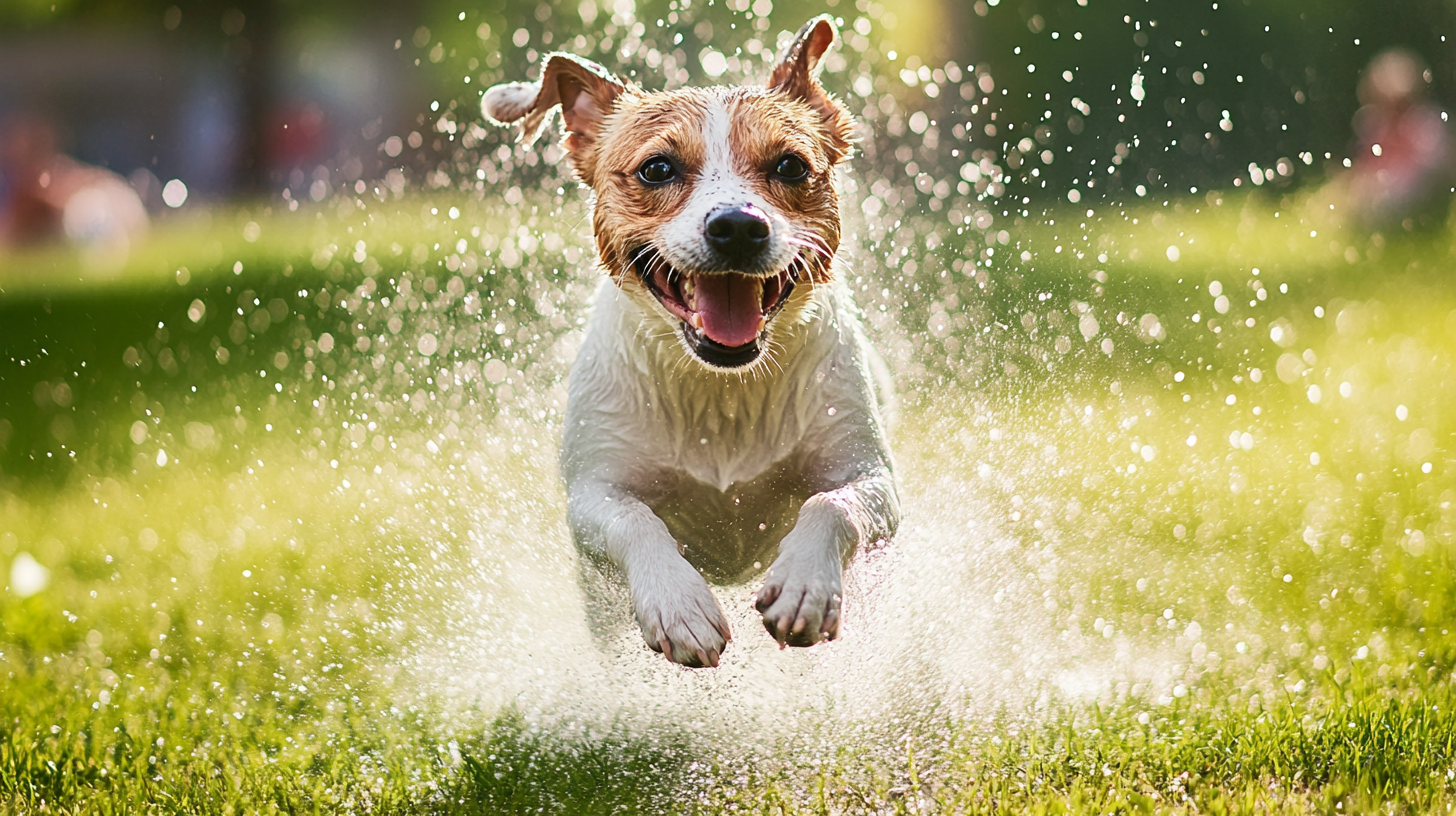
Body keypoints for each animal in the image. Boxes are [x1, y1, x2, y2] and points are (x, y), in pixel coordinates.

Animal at [486, 17, 896, 670]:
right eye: (657, 169)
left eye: (790, 166)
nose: (737, 225)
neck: (719, 386)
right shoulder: (594, 492)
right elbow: (633, 519)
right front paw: (677, 604)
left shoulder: (868, 472)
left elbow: (832, 504)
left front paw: (806, 586)